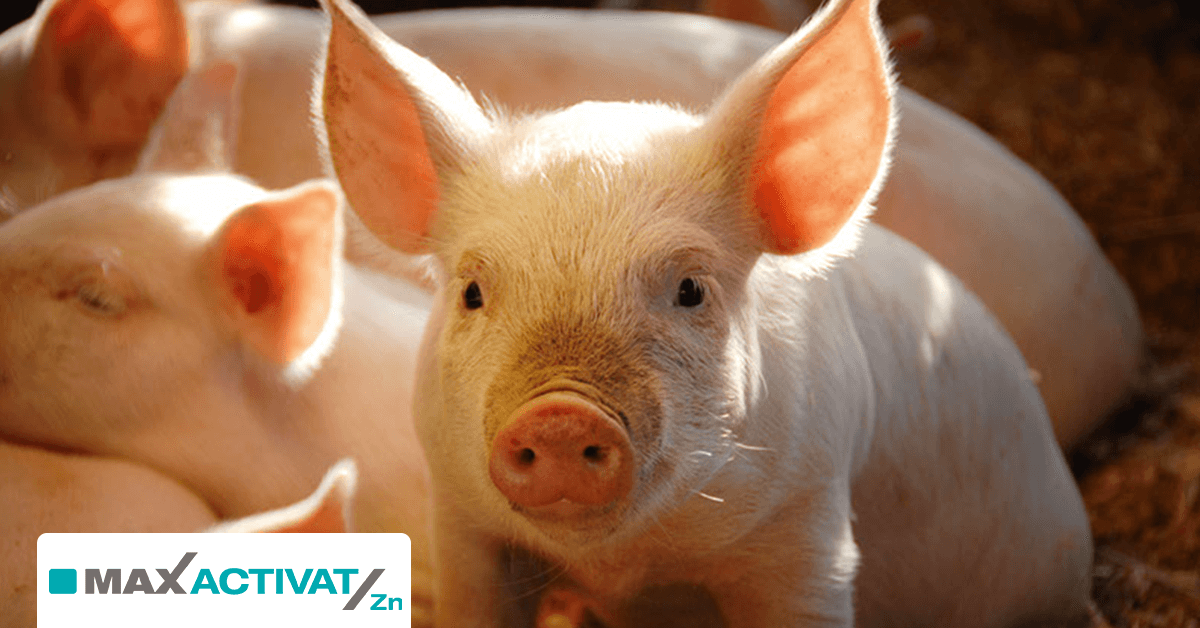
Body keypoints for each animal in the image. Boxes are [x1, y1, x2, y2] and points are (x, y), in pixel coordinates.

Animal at [317, 0, 1094, 626]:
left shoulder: (810, 534)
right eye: (473, 291)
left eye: (691, 288)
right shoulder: (459, 519)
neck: (629, 566)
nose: (561, 415)